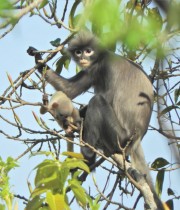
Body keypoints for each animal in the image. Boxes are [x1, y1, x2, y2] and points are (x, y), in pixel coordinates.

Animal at [27, 31, 164, 210]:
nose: (83, 57)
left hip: (119, 136)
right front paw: (37, 56)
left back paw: (87, 157)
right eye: (79, 52)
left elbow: (72, 91)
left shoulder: (99, 68)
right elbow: (69, 90)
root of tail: (136, 139)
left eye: (88, 51)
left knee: (97, 101)